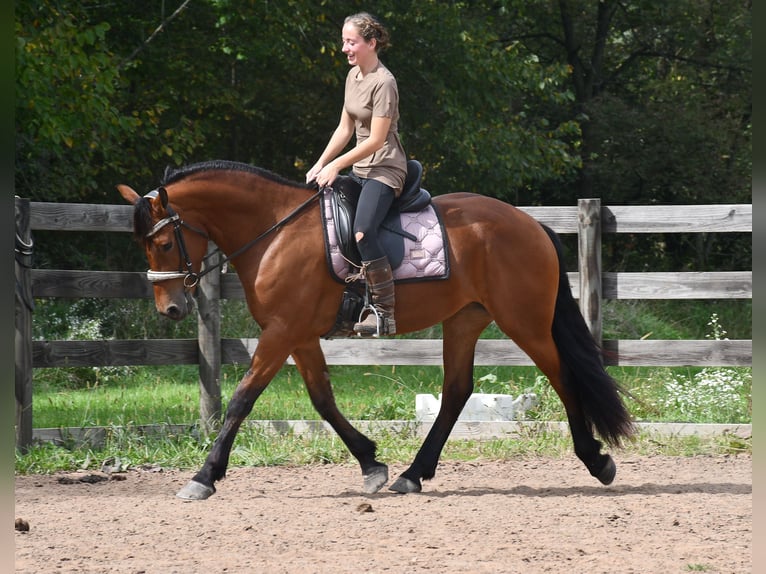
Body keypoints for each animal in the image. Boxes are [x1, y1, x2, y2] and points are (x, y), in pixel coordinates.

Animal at [117, 159, 634, 500]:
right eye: (144, 246)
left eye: (164, 243)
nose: (171, 309)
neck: (274, 232)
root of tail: (531, 224)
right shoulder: (298, 335)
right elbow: (323, 400)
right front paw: (371, 463)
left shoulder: (281, 332)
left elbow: (242, 400)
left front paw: (204, 476)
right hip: (464, 319)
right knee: (456, 390)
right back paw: (413, 474)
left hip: (523, 321)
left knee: (562, 377)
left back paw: (596, 460)